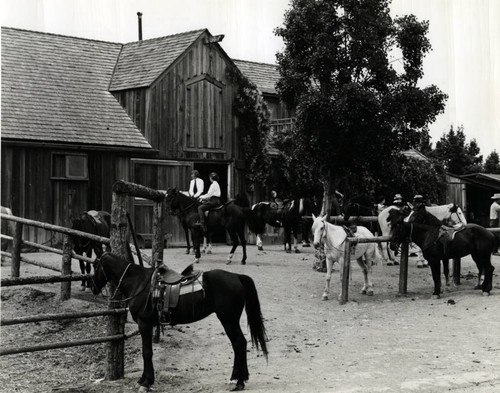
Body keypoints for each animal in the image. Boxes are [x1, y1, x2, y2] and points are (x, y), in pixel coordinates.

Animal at [91, 253, 268, 390]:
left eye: (94, 266)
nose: (92, 287)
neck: (138, 283)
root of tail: (237, 277)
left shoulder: (144, 324)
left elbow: (146, 352)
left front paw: (147, 382)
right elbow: (146, 352)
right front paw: (144, 379)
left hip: (228, 320)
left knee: (239, 343)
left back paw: (239, 382)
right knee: (240, 344)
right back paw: (238, 378)